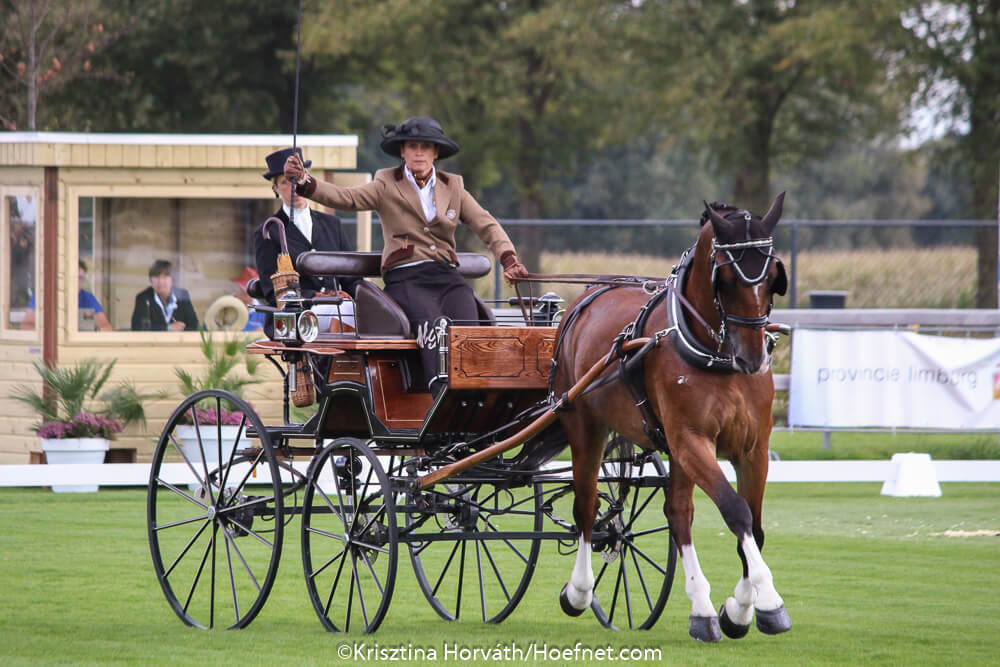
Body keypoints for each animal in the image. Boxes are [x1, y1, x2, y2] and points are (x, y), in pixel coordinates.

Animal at [552, 193, 792, 640]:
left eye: (772, 277)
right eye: (725, 280)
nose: (753, 358)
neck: (714, 354)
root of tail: (585, 299)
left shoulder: (752, 448)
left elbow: (754, 524)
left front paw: (738, 609)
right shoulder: (691, 439)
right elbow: (735, 510)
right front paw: (768, 600)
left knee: (678, 515)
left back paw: (701, 610)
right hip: (584, 424)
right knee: (587, 506)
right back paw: (578, 591)